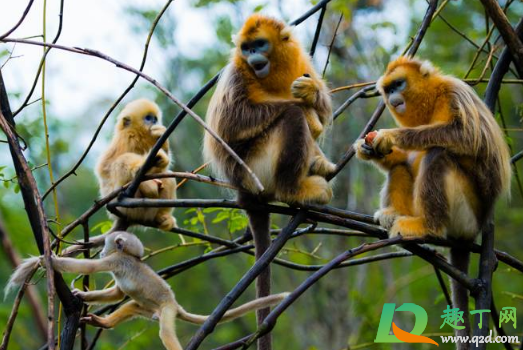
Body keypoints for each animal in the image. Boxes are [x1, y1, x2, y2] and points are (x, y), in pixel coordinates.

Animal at [5, 232, 290, 350]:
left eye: (107, 244)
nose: (103, 249)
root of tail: (175, 304)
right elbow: (118, 295)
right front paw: (82, 296)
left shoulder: (116, 261)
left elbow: (91, 266)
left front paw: (49, 260)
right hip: (148, 308)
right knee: (131, 305)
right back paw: (104, 322)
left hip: (166, 310)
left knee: (166, 332)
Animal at [203, 14, 334, 350]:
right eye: (246, 48)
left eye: (259, 45)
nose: (252, 57)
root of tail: (242, 190)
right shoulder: (235, 75)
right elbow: (234, 121)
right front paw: (305, 110)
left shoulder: (302, 61)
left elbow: (324, 109)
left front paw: (312, 92)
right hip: (255, 169)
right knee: (290, 118)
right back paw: (296, 189)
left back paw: (318, 164)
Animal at [356, 56, 512, 344]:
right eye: (388, 89)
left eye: (398, 84)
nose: (392, 97)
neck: (433, 99)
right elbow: (400, 160)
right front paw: (367, 148)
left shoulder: (456, 94)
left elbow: (465, 136)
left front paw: (391, 135)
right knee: (402, 167)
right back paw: (394, 216)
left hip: (465, 215)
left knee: (438, 153)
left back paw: (428, 227)